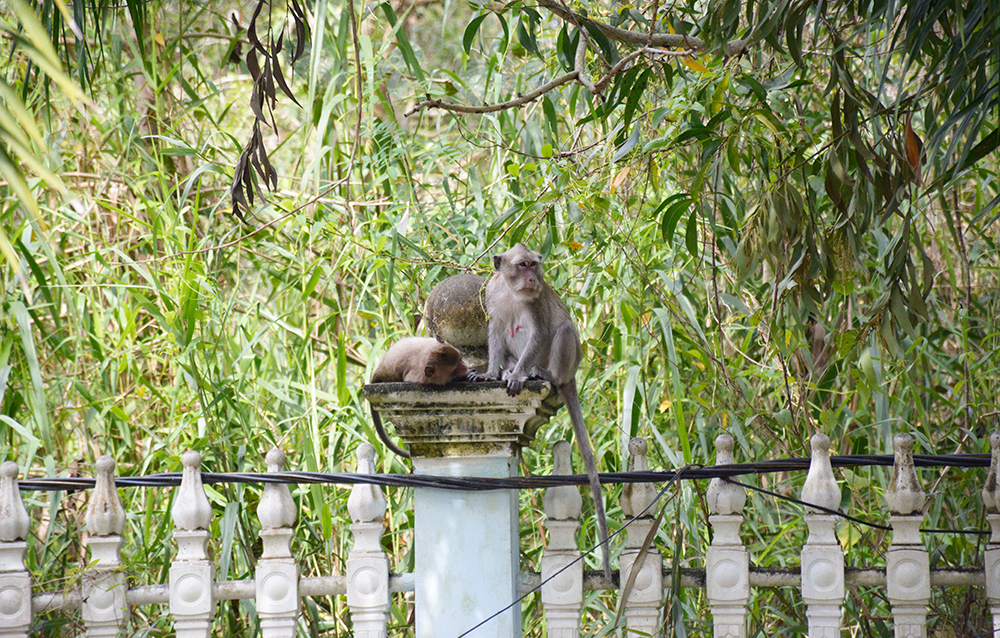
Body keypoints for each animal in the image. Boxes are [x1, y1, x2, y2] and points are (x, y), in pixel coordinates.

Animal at [482, 244, 612, 580]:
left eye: (533, 265)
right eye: (521, 265)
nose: (532, 277)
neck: (512, 292)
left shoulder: (536, 301)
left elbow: (540, 332)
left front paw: (516, 376)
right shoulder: (492, 295)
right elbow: (496, 330)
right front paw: (490, 372)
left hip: (569, 360)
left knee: (562, 329)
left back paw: (540, 374)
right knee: (510, 329)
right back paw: (508, 371)